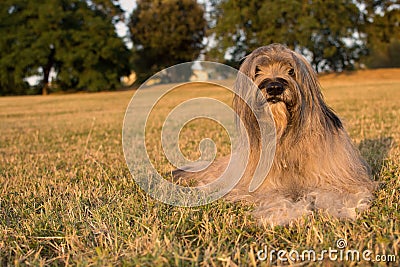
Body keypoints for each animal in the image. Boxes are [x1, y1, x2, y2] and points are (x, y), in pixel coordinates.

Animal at [174, 44, 376, 226]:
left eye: (291, 70)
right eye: (257, 70)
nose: (274, 87)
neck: (284, 135)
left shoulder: (337, 177)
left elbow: (339, 192)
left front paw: (344, 208)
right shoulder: (264, 187)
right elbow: (274, 197)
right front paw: (286, 215)